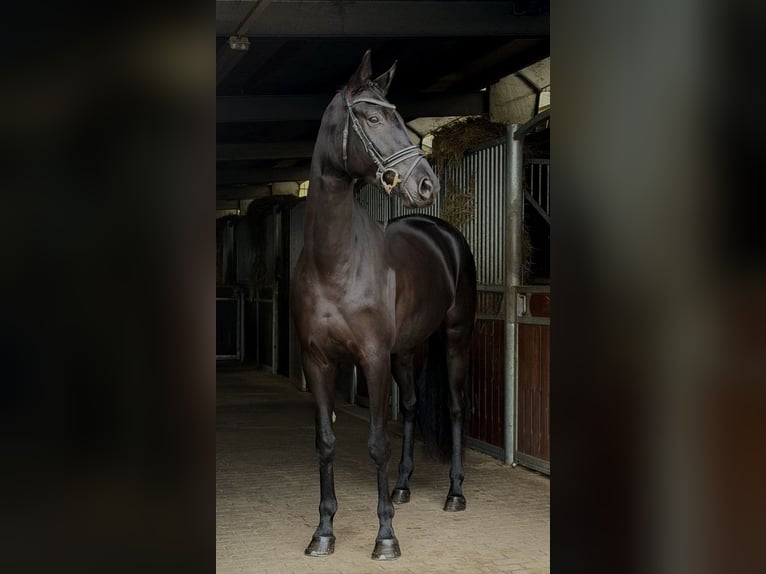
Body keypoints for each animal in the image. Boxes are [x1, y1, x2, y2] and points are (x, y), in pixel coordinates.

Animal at [291, 50, 477, 561]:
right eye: (373, 118)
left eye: (399, 117)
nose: (427, 184)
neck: (335, 262)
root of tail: (443, 233)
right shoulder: (318, 361)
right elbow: (326, 442)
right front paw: (323, 532)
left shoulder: (370, 358)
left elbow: (376, 443)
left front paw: (386, 537)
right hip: (405, 352)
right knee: (411, 407)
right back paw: (403, 487)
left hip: (455, 338)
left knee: (454, 408)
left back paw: (454, 493)